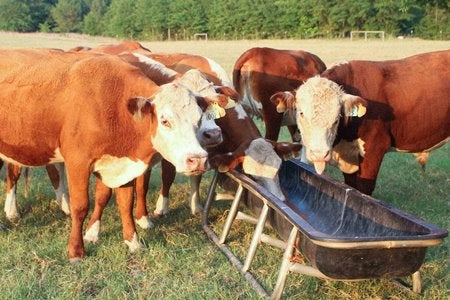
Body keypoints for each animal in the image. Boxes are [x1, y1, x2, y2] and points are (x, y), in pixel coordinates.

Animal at [0, 48, 227, 262]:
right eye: (165, 121)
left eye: (198, 119)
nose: (198, 159)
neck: (113, 106)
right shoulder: (78, 163)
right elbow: (81, 206)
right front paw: (76, 251)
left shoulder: (122, 164)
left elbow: (124, 202)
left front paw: (133, 242)